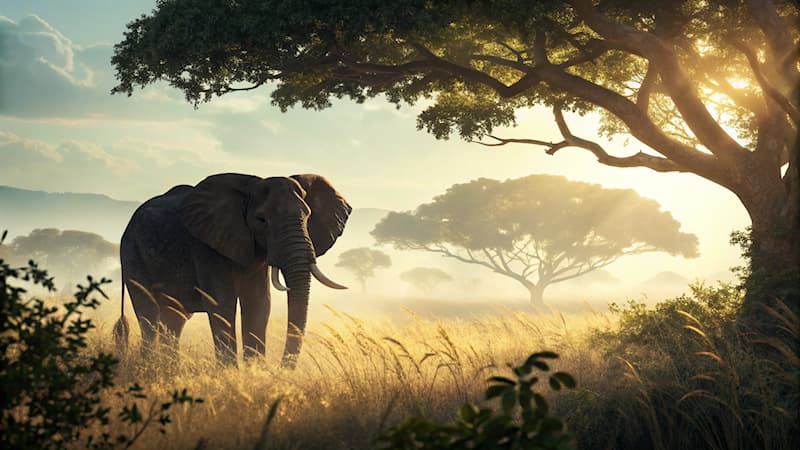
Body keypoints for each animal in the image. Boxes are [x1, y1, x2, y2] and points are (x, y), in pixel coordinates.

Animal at [113, 173, 351, 368]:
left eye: (308, 216)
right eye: (261, 220)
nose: (281, 369)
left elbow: (259, 304)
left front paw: (255, 374)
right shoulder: (206, 247)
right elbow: (222, 304)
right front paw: (230, 374)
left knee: (174, 319)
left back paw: (168, 370)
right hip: (132, 254)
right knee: (149, 314)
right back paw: (150, 367)